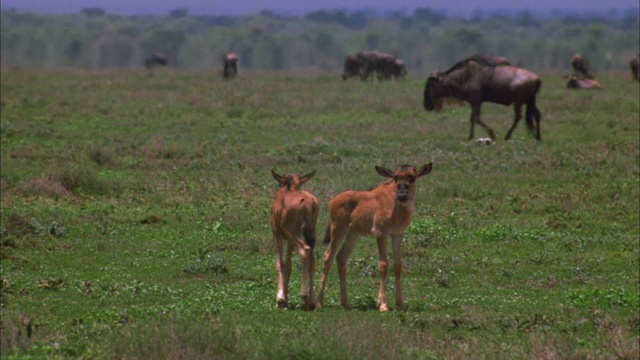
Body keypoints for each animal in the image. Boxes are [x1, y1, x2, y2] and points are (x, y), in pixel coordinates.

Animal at [270, 169, 320, 310]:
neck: (288, 188)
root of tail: (307, 201)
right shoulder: (289, 240)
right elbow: (289, 265)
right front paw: (285, 299)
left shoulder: (278, 235)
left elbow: (280, 264)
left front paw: (280, 300)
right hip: (309, 232)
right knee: (312, 259)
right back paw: (311, 302)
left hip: (293, 233)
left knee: (305, 250)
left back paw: (304, 296)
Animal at [316, 165, 432, 310]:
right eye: (395, 177)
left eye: (412, 177)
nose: (402, 195)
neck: (396, 208)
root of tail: (332, 201)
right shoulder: (381, 233)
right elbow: (383, 264)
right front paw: (383, 304)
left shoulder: (397, 234)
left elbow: (398, 265)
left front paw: (400, 303)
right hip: (338, 230)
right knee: (328, 257)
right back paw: (319, 302)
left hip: (353, 234)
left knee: (341, 257)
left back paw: (346, 303)